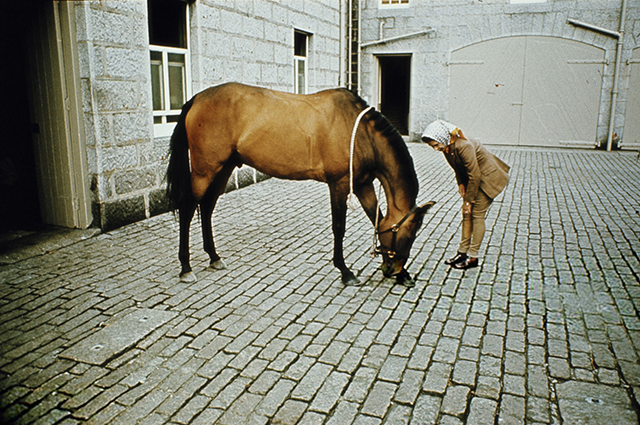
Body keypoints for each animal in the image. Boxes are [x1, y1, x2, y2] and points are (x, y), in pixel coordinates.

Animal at [166, 81, 436, 286]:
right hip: (205, 170)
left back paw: (214, 257)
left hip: (224, 168)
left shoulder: (362, 185)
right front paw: (345, 271)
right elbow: (339, 227)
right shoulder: (339, 184)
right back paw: (186, 267)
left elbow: (377, 219)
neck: (359, 132)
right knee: (188, 209)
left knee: (207, 207)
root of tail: (196, 99)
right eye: (409, 234)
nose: (394, 270)